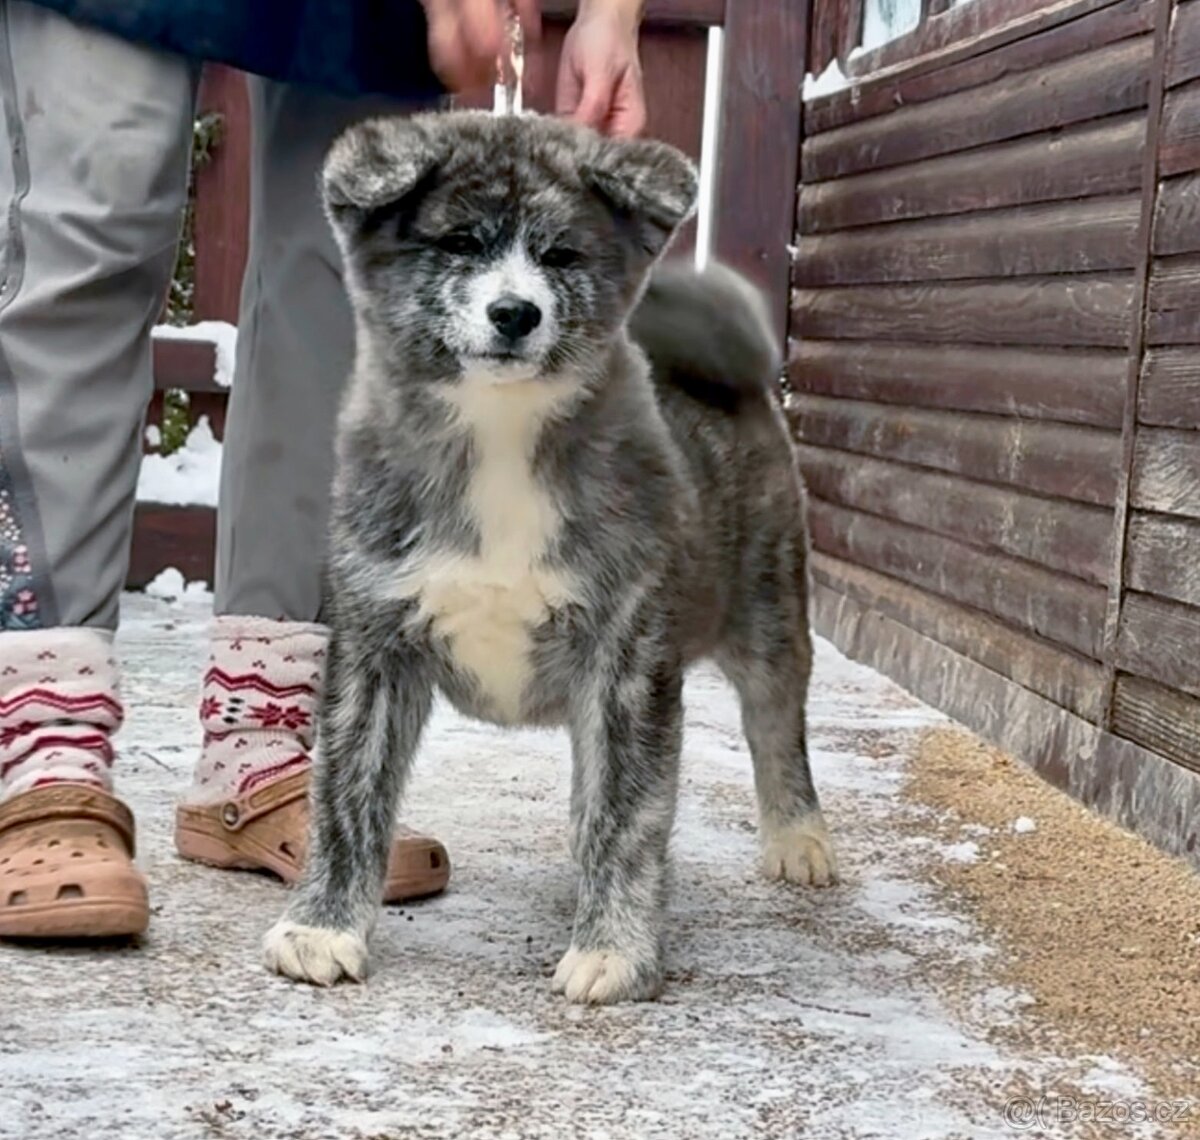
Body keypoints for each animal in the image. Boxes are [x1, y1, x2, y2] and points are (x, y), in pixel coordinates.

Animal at [267, 114, 840, 1008]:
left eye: (562, 254)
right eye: (460, 242)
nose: (514, 313)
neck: (500, 433)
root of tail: (735, 381)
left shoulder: (625, 657)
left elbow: (627, 816)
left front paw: (615, 951)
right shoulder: (373, 643)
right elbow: (346, 798)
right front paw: (322, 927)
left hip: (772, 613)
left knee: (777, 726)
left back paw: (798, 838)